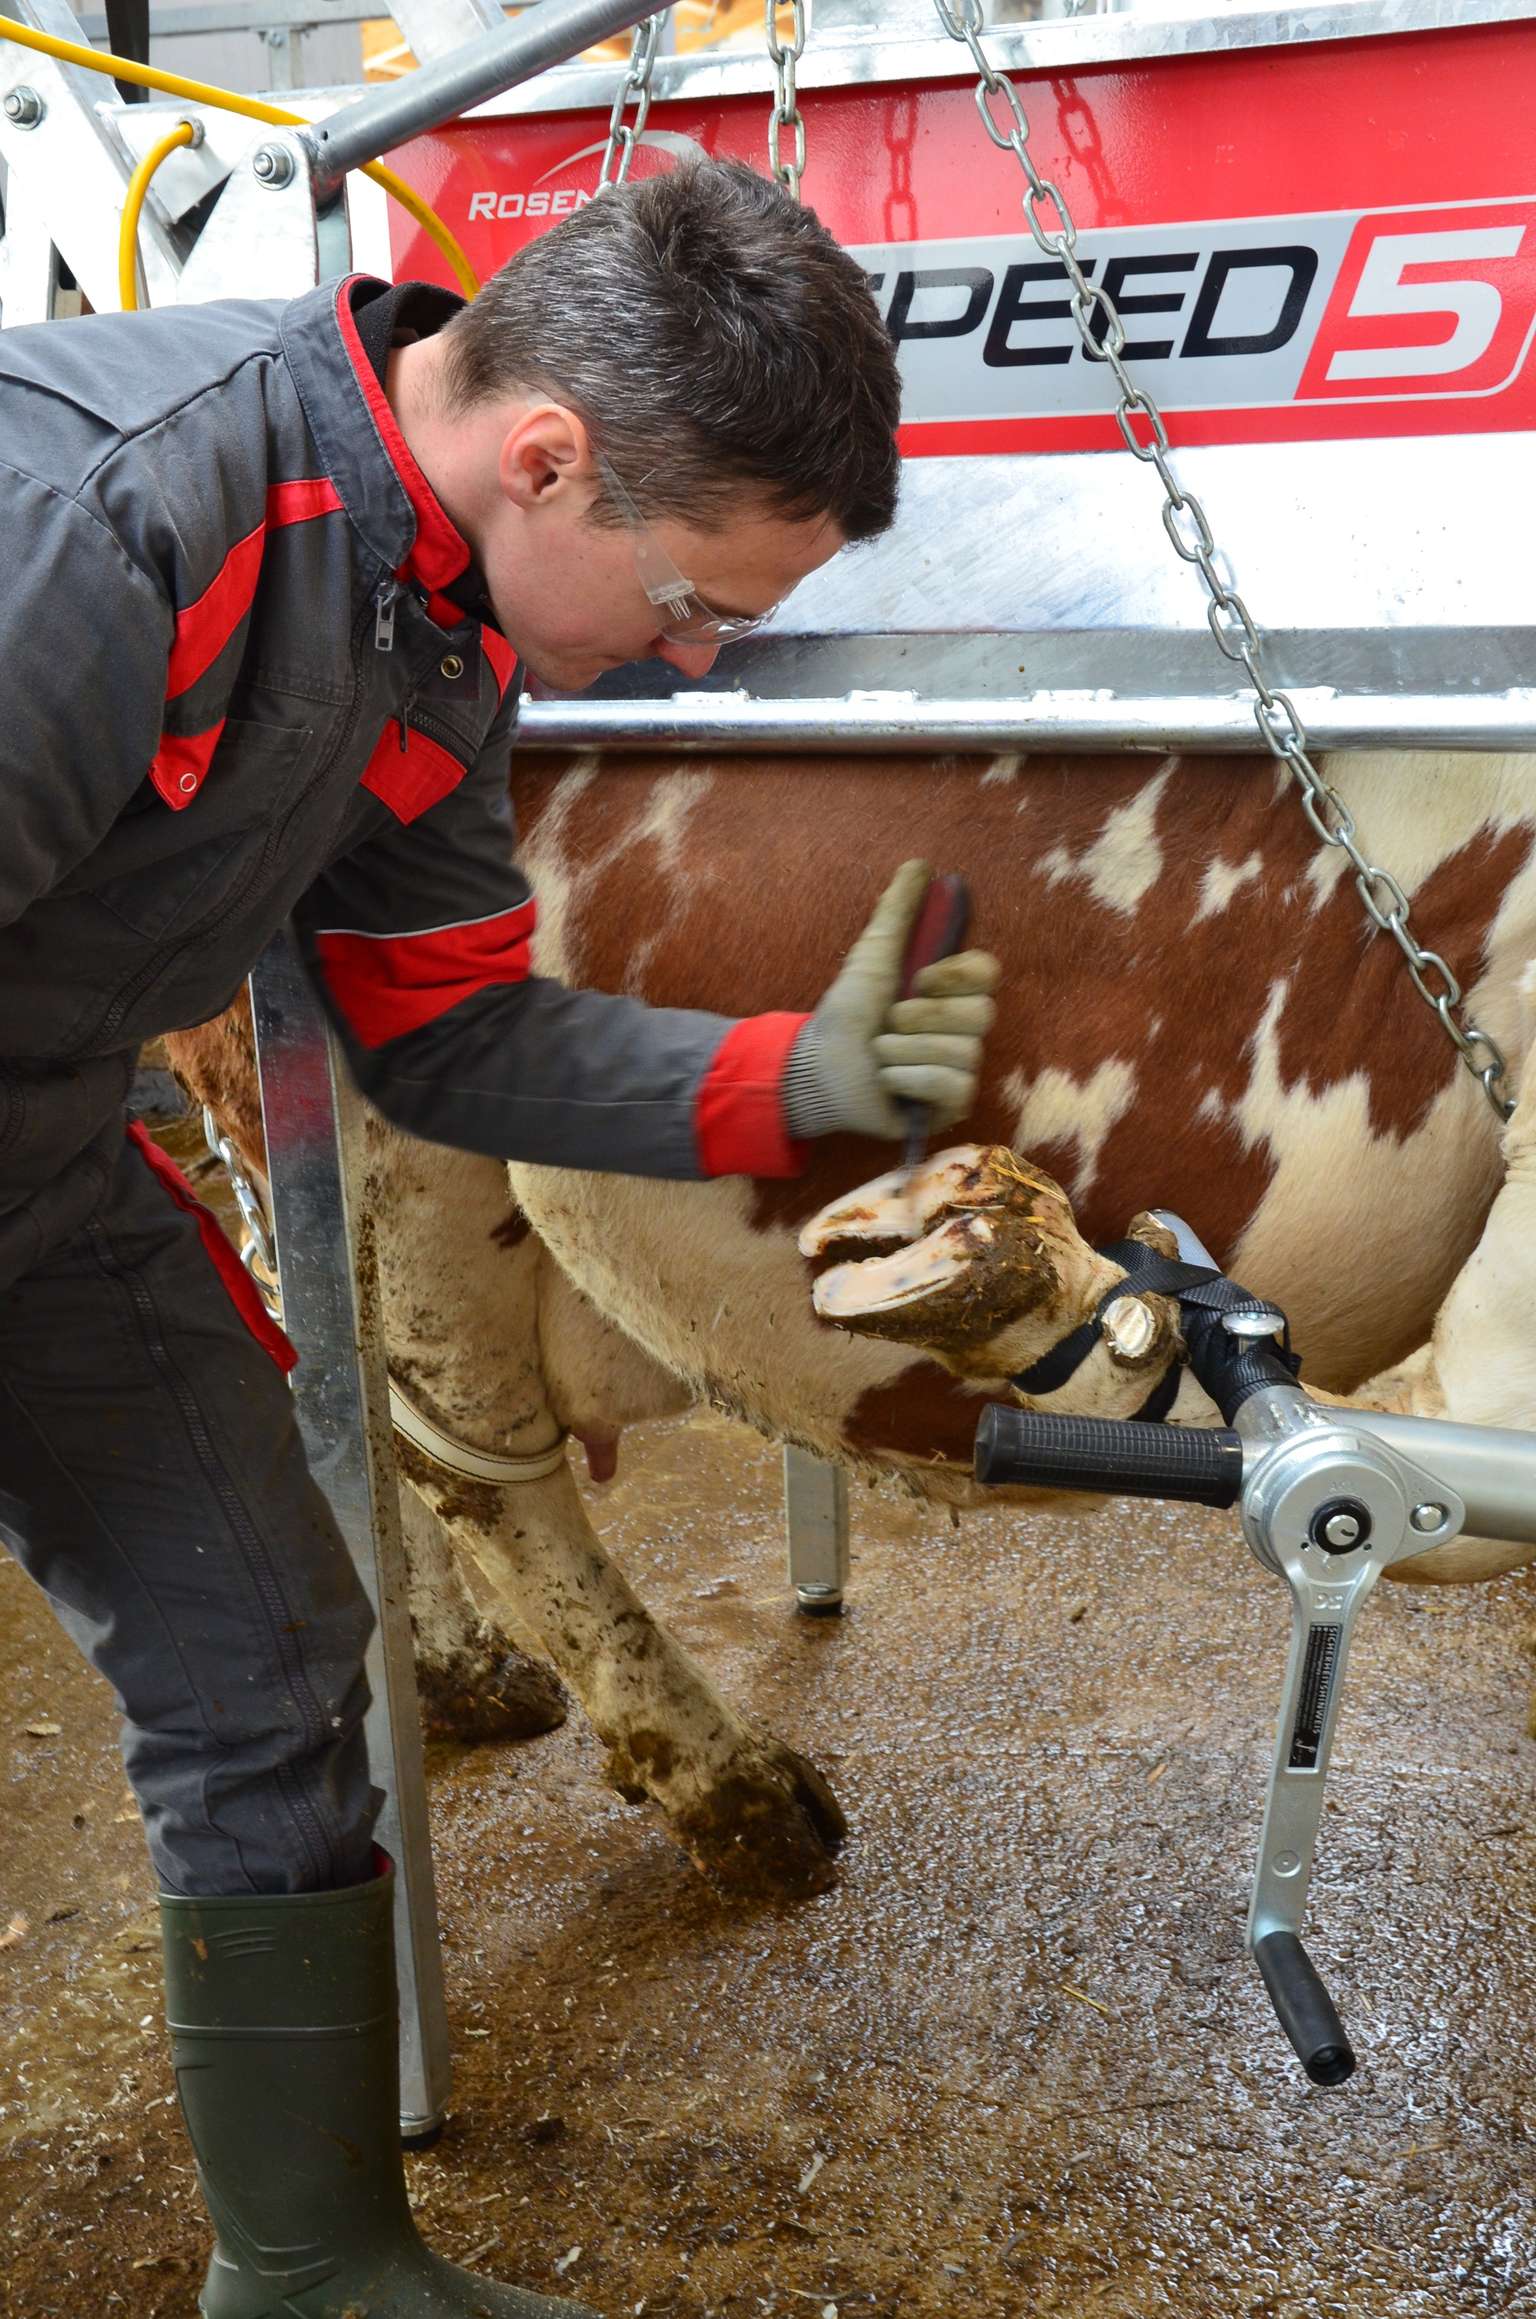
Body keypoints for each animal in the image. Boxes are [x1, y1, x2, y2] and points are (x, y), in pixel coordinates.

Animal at [164, 747, 1536, 1897]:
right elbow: (1436, 1460)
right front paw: (1031, 1282)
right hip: (391, 1123)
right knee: (469, 1457)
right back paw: (732, 1792)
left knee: (371, 1423)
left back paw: (462, 1678)